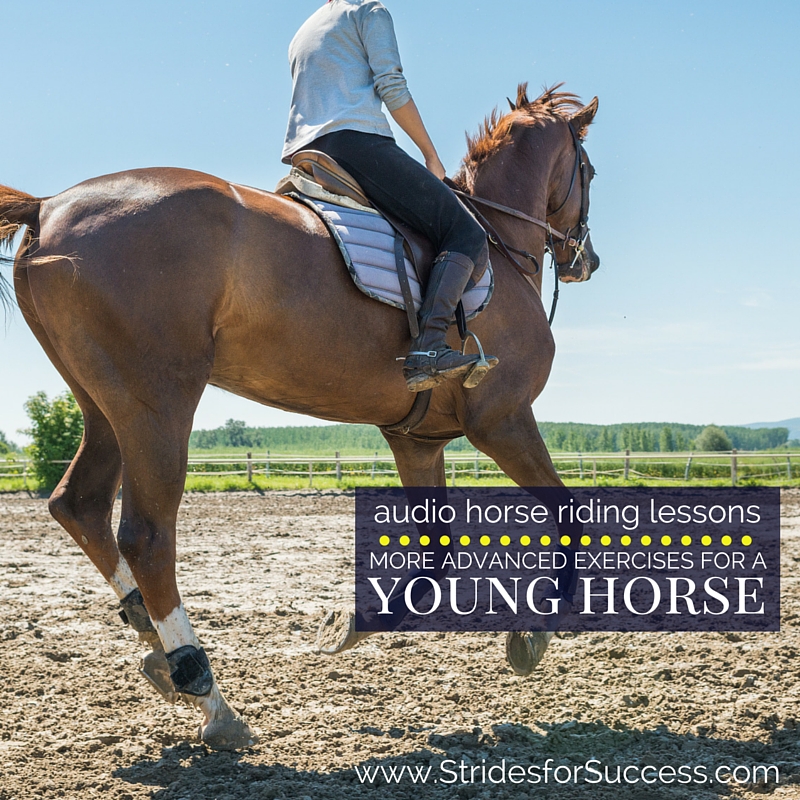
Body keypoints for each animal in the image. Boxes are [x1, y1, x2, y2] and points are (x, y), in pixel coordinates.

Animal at [0, 84, 599, 750]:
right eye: (589, 171)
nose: (588, 260)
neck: (493, 243)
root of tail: (49, 207)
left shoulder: (417, 440)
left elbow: (434, 549)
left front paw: (359, 622)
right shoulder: (503, 419)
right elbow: (569, 513)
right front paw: (534, 629)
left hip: (103, 404)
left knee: (78, 505)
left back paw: (156, 644)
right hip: (157, 401)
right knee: (147, 536)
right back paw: (209, 695)